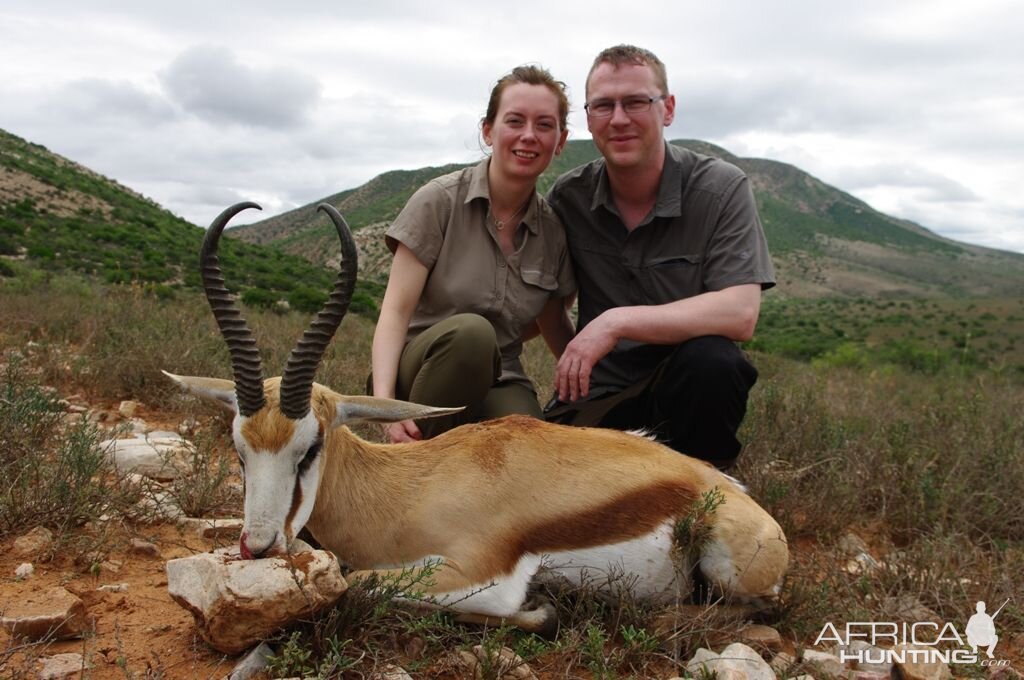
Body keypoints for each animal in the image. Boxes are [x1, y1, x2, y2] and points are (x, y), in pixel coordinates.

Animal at [167, 200, 786, 630]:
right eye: (239, 450)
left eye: (309, 448)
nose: (259, 548)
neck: (407, 490)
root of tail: (726, 489)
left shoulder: (479, 573)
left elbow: (361, 582)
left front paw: (543, 609)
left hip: (731, 575)